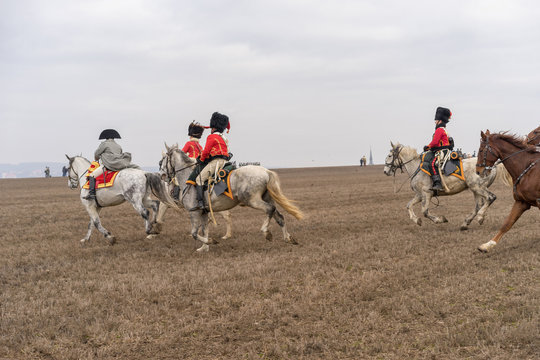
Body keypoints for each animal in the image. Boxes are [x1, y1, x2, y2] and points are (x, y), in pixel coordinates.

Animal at [159, 143, 304, 250]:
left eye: (162, 161)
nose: (163, 176)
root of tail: (266, 172)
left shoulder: (194, 211)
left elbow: (195, 233)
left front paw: (211, 241)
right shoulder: (204, 212)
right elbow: (204, 230)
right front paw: (204, 248)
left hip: (253, 200)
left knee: (270, 210)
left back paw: (266, 232)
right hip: (267, 198)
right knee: (279, 216)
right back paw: (288, 238)